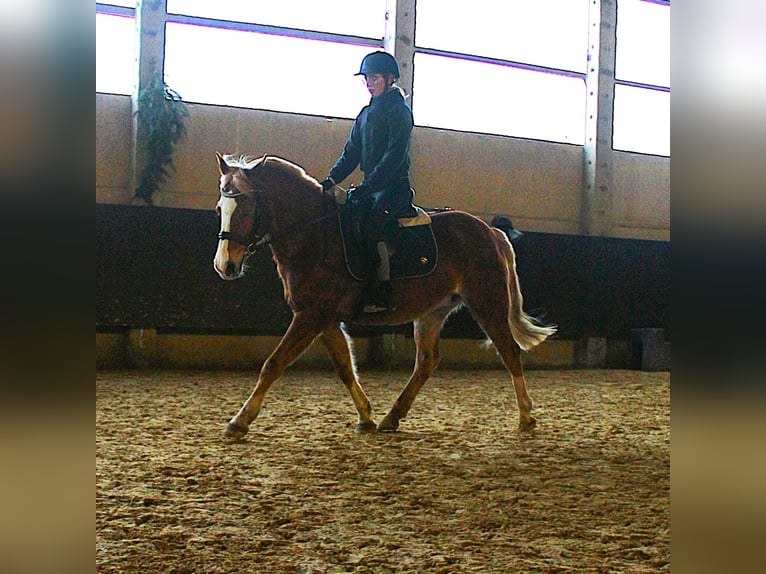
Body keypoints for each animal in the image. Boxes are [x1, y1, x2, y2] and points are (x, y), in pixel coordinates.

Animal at [213, 152, 556, 440]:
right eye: (220, 209)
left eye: (245, 208)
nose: (224, 265)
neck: (314, 234)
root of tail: (489, 231)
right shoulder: (324, 319)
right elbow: (344, 367)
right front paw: (366, 418)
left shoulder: (311, 317)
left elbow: (273, 364)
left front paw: (239, 421)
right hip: (432, 312)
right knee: (427, 361)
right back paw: (393, 417)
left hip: (487, 301)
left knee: (509, 351)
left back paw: (526, 418)